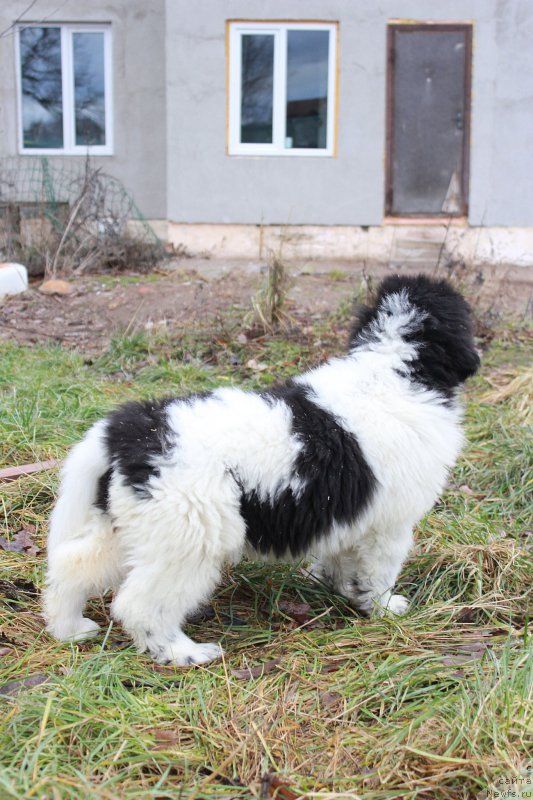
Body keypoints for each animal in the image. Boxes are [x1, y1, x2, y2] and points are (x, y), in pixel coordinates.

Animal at [43, 274, 480, 664]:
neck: (391, 368)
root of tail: (128, 433)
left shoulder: (349, 515)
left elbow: (342, 560)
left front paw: (341, 590)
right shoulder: (389, 524)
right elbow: (378, 570)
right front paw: (386, 608)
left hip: (132, 526)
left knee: (72, 564)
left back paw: (69, 629)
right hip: (189, 537)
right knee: (141, 604)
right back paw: (182, 653)